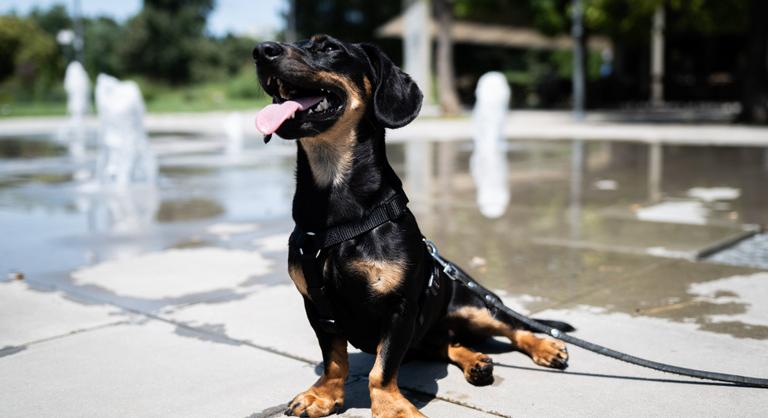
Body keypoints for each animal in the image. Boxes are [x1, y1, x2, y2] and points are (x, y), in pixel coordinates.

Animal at [255, 34, 572, 416]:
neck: (341, 217)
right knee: (448, 344)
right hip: (432, 334)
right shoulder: (317, 308)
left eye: (329, 48)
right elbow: (334, 358)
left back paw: (546, 348)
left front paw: (391, 406)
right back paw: (476, 362)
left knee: (513, 328)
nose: (261, 51)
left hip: (476, 306)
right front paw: (324, 394)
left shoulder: (399, 310)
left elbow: (382, 369)